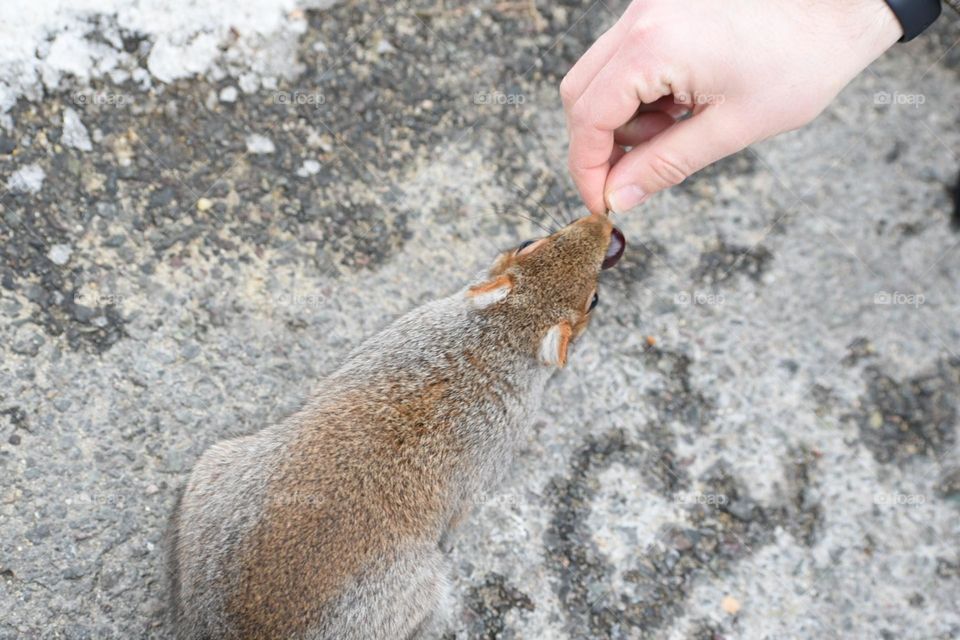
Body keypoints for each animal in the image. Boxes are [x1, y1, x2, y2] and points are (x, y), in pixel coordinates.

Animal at [169, 212, 628, 636]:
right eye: (528, 243)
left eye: (593, 298)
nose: (605, 223)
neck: (495, 342)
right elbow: (464, 512)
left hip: (216, 467)